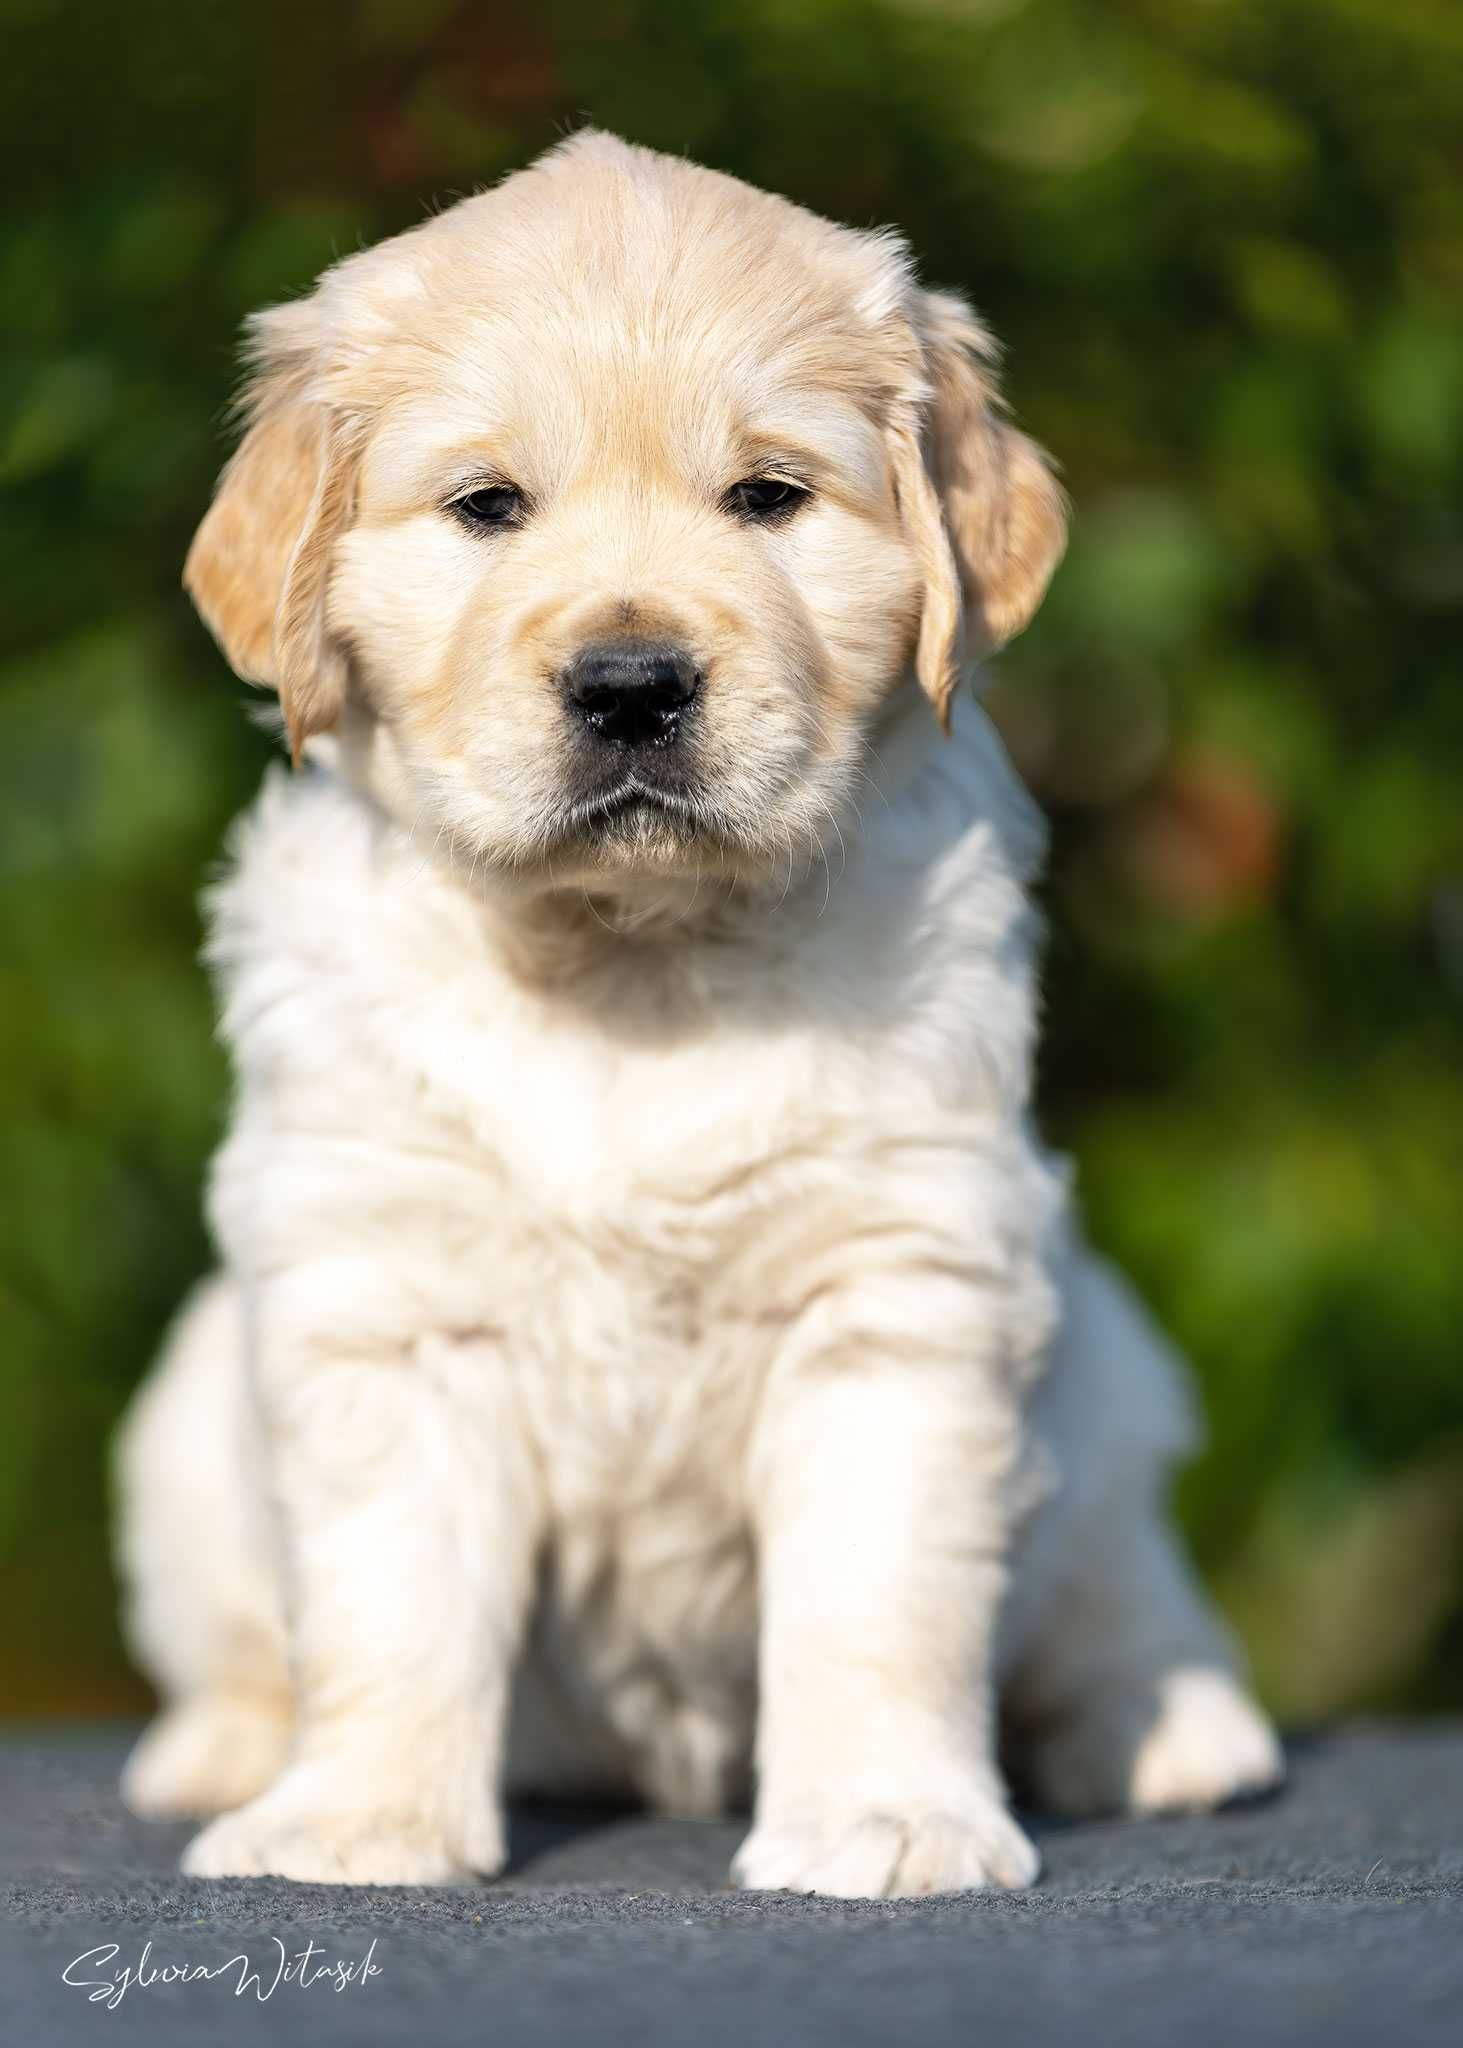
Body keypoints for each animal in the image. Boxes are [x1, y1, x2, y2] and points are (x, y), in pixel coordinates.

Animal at [113, 123, 1278, 1884]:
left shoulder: (895, 1290)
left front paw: (882, 1816)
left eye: (767, 497)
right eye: (487, 507)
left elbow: (877, 1600)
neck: (630, 966)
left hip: (1113, 1378)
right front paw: (356, 1820)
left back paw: (1167, 1726)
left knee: (1113, 1593)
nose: (630, 686)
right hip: (186, 1417)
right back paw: (223, 1750)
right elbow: (388, 1608)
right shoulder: (385, 1306)